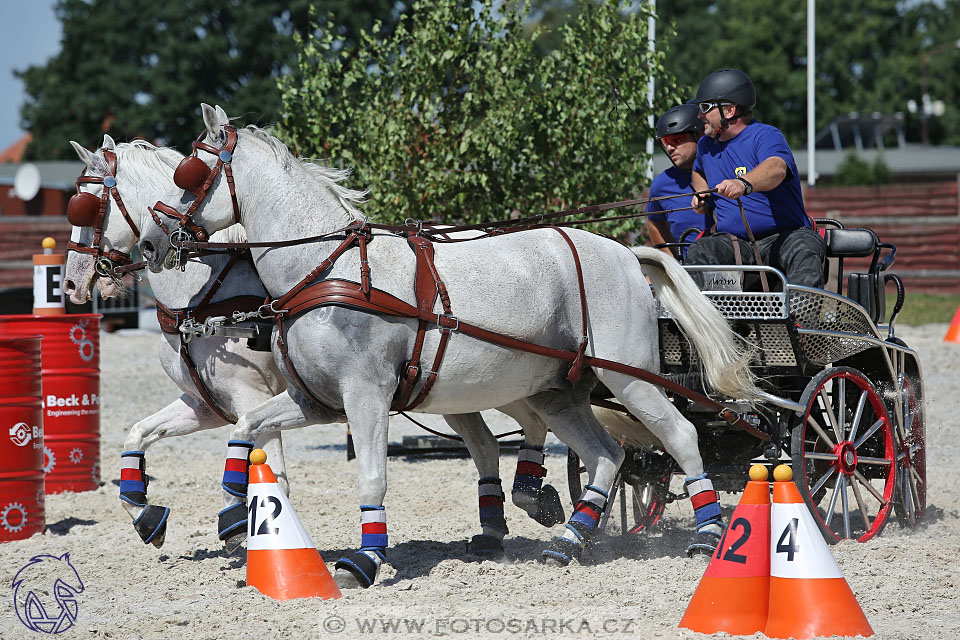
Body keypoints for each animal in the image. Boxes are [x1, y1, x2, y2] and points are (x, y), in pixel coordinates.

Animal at [63, 136, 564, 560]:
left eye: (87, 207)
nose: (70, 283)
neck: (203, 296)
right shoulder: (206, 404)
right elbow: (138, 434)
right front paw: (146, 515)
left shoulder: (250, 396)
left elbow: (272, 473)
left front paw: (244, 530)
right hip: (452, 391)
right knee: (489, 442)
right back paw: (504, 520)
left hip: (502, 380)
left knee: (534, 420)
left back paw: (533, 494)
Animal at [129, 104, 756, 584]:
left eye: (188, 174)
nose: (152, 243)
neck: (326, 268)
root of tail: (626, 251)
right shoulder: (315, 401)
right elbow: (245, 429)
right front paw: (233, 512)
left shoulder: (366, 396)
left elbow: (372, 475)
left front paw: (365, 559)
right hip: (559, 392)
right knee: (607, 454)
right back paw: (571, 539)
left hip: (629, 376)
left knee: (679, 435)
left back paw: (708, 535)